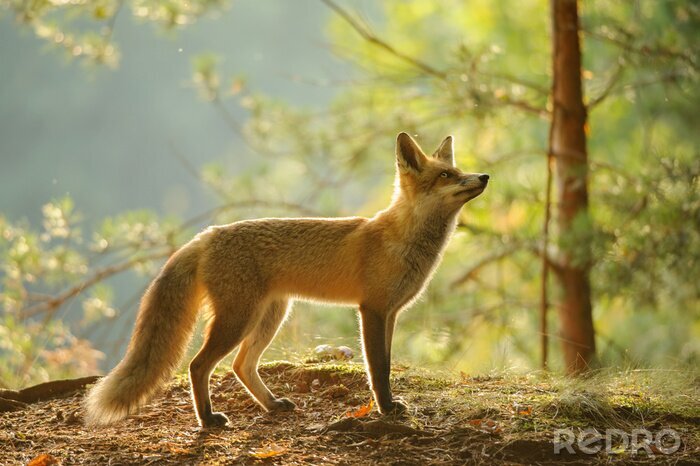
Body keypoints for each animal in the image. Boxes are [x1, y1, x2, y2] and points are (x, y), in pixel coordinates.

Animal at [84, 132, 489, 427]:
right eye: (446, 176)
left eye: (457, 170)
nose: (484, 177)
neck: (403, 240)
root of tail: (208, 234)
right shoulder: (371, 310)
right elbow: (378, 369)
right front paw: (386, 409)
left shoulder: (389, 314)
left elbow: (385, 364)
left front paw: (386, 406)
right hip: (238, 319)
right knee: (199, 366)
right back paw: (208, 421)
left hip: (270, 315)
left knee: (241, 366)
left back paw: (270, 405)